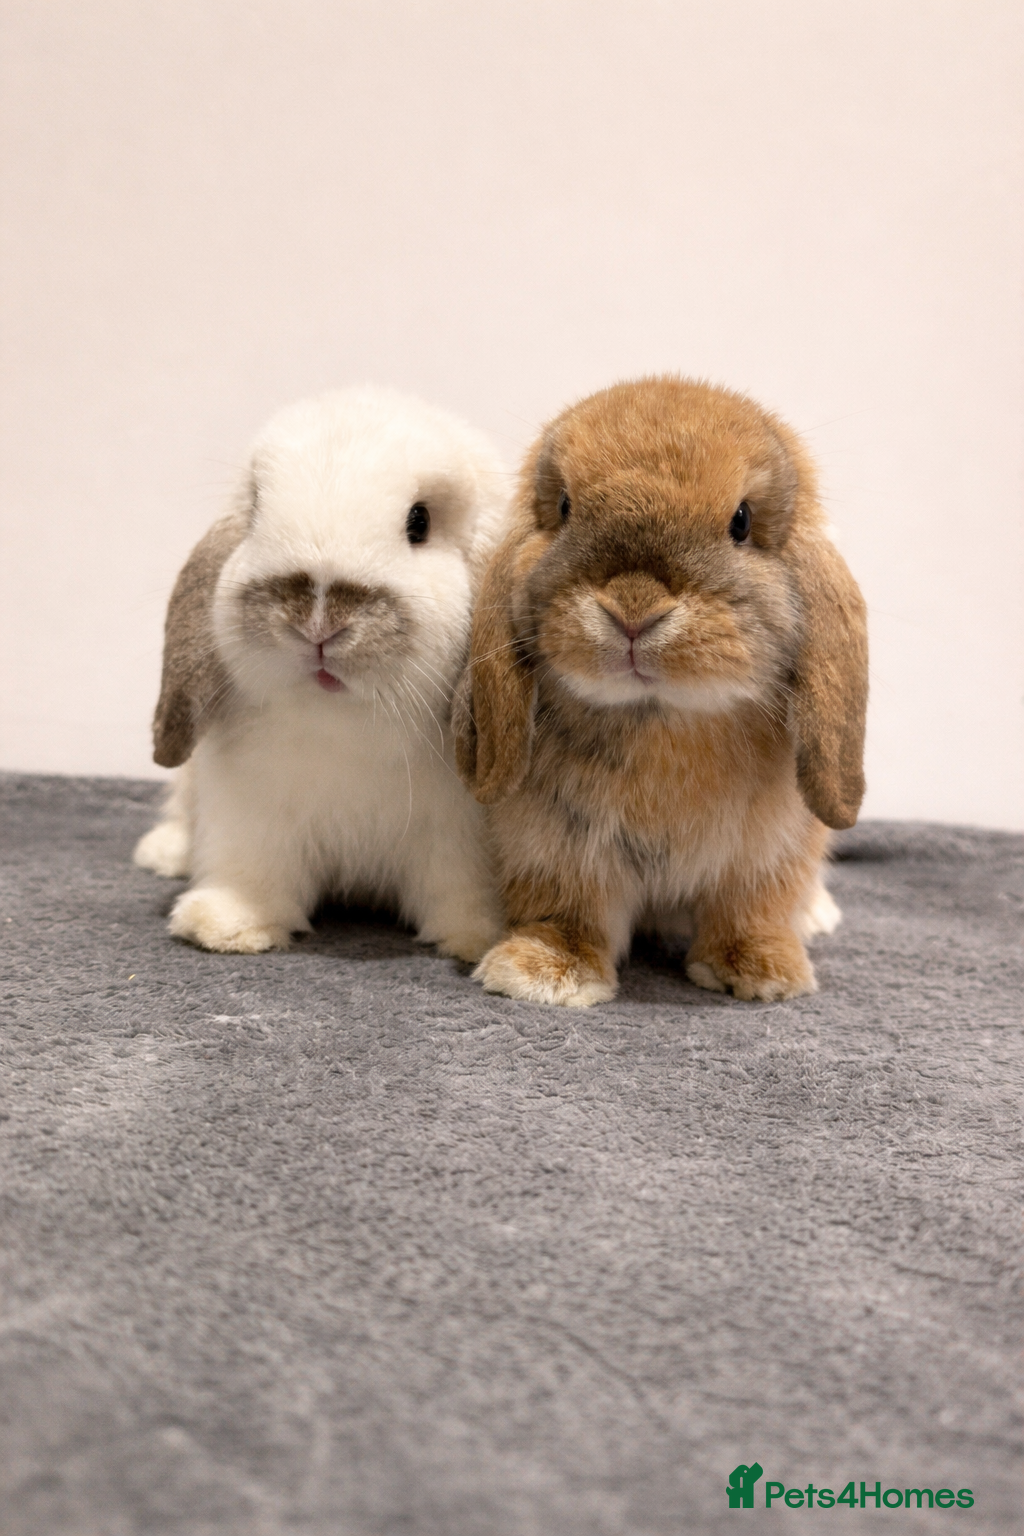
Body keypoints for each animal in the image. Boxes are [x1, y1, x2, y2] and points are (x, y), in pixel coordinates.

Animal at [133, 386, 510, 960]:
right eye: (255, 509)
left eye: (419, 522)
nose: (317, 620)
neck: (343, 723)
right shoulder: (254, 819)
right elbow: (252, 874)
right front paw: (224, 925)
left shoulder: (459, 840)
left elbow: (460, 891)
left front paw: (479, 939)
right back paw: (164, 852)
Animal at [453, 376, 868, 1005]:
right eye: (565, 507)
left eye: (741, 521)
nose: (634, 609)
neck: (660, 716)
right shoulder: (553, 845)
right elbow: (566, 910)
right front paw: (543, 973)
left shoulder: (767, 853)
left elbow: (752, 908)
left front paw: (762, 974)